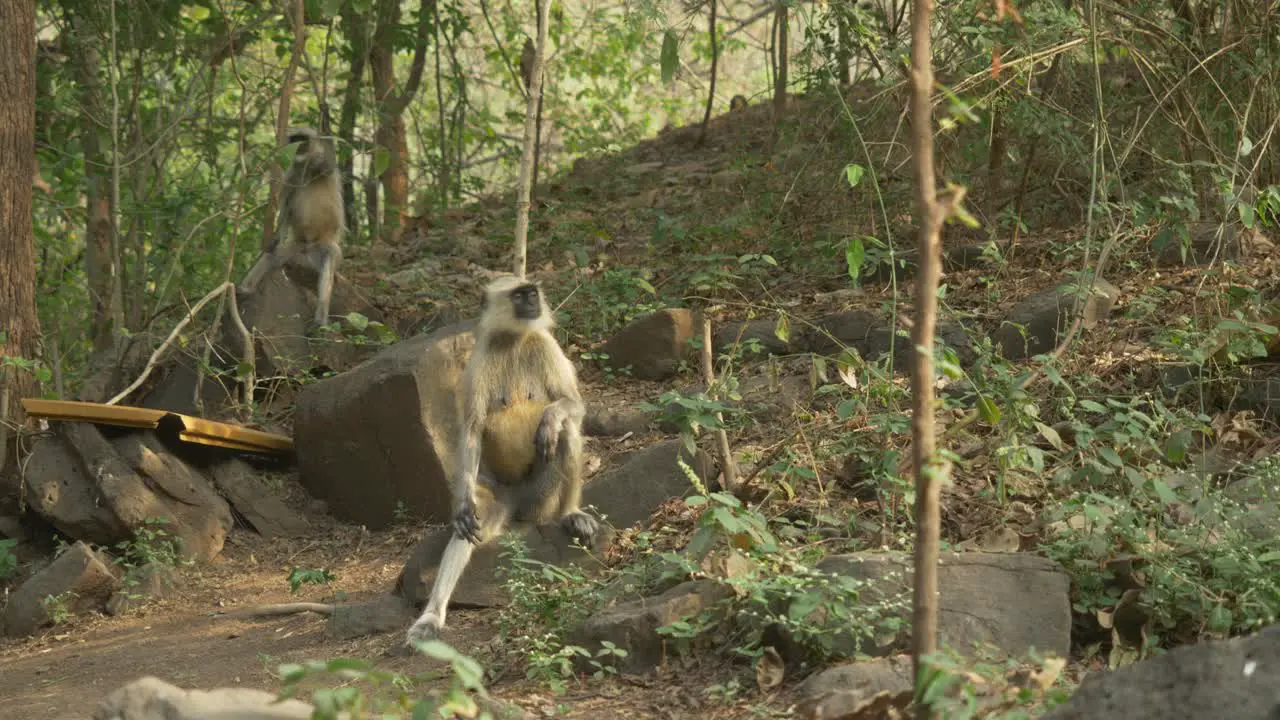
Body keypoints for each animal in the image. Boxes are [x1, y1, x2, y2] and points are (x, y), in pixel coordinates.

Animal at [238, 127, 343, 330]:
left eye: (303, 139)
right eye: (295, 139)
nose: (299, 146)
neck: (307, 170)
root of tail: (306, 248)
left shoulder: (322, 167)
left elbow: (326, 163)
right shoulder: (291, 174)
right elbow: (287, 208)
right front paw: (276, 236)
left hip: (322, 246)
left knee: (329, 258)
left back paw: (320, 320)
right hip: (294, 248)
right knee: (272, 255)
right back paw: (244, 290)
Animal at [407, 274, 601, 645]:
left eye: (532, 293)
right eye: (520, 296)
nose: (533, 303)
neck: (514, 339)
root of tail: (518, 507)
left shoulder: (545, 344)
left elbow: (571, 404)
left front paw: (550, 417)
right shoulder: (478, 360)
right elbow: (470, 432)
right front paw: (461, 505)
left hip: (542, 499)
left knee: (566, 430)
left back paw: (570, 512)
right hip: (497, 496)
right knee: (473, 522)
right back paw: (432, 616)